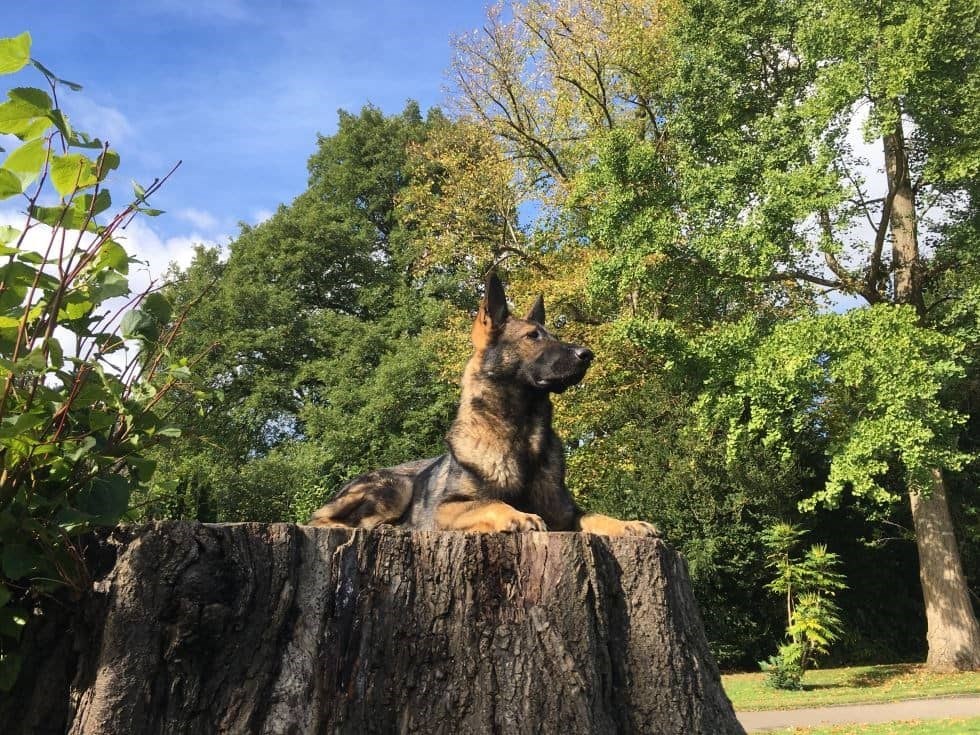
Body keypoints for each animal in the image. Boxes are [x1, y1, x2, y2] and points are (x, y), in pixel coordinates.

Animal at [306, 274, 660, 536]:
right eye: (533, 337)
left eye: (551, 335)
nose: (587, 355)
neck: (523, 436)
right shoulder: (446, 508)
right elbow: (490, 504)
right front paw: (517, 515)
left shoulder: (566, 517)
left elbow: (596, 516)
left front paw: (628, 524)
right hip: (396, 486)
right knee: (322, 521)